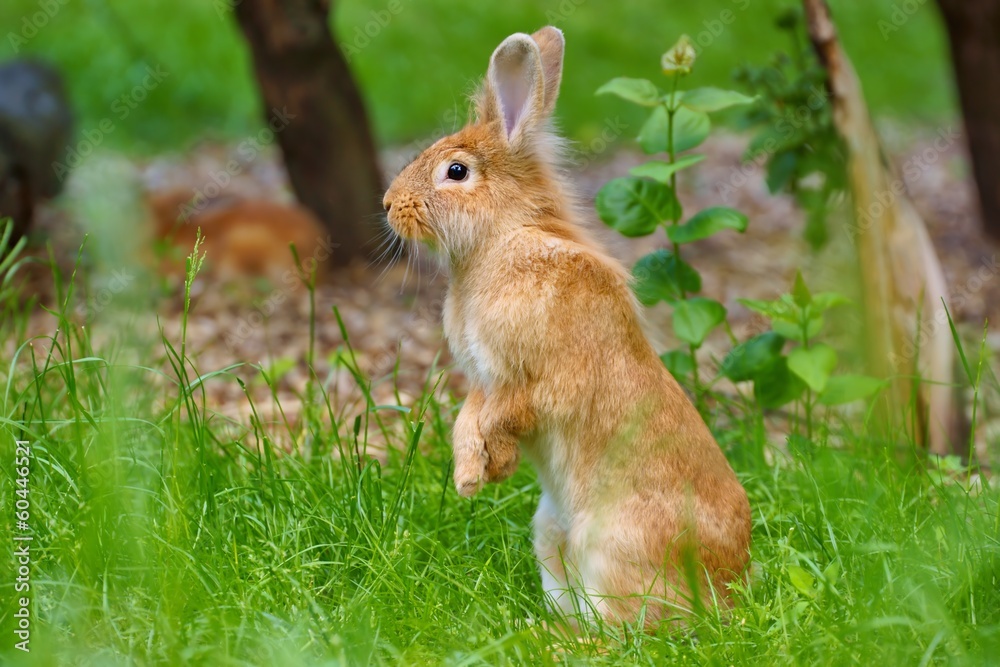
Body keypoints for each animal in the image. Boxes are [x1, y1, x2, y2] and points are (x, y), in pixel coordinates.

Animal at [382, 26, 751, 629]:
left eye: (456, 171)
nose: (389, 204)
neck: (500, 239)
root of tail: (729, 591)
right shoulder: (481, 381)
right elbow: (466, 421)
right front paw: (470, 479)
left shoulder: (536, 380)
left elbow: (508, 413)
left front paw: (492, 468)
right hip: (550, 534)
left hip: (613, 544)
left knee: (628, 632)